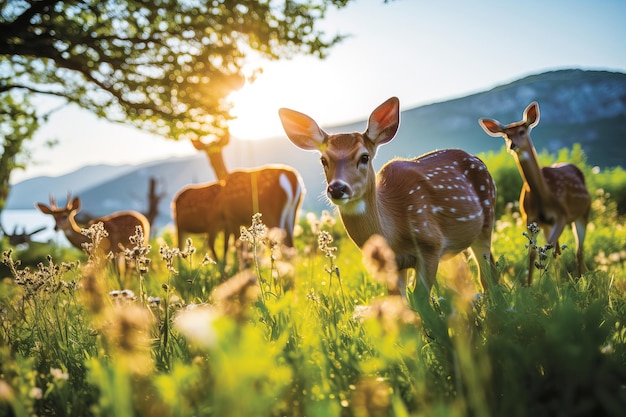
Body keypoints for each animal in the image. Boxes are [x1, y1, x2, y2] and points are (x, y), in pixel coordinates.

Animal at [280, 96, 494, 298]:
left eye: (364, 157)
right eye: (323, 160)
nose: (337, 188)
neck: (393, 235)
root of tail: (477, 158)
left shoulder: (431, 244)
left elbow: (421, 300)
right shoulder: (392, 265)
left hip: (486, 218)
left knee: (486, 275)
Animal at [478, 101, 588, 282]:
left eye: (522, 131)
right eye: (506, 135)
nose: (512, 145)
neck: (544, 195)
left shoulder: (562, 215)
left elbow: (546, 249)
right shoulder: (529, 218)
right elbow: (532, 253)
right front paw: (531, 285)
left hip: (583, 214)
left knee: (578, 249)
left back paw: (580, 277)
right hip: (549, 225)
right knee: (558, 250)